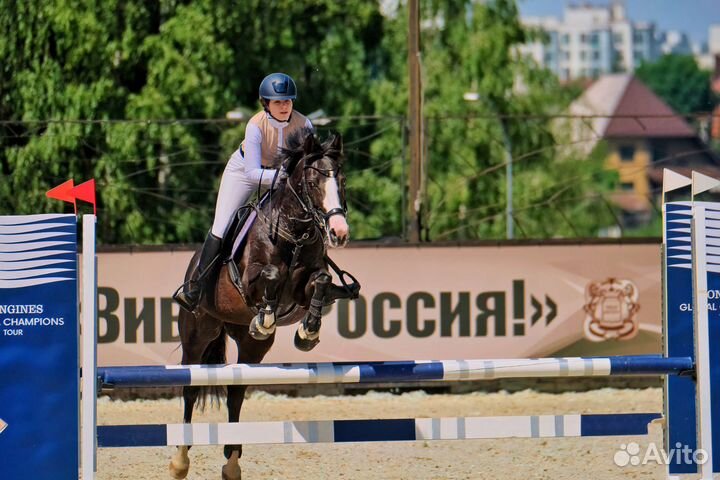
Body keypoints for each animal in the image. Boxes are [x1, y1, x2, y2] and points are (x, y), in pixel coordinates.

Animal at [169, 129, 360, 480]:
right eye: (312, 182)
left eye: (341, 180)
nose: (339, 232)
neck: (294, 233)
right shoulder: (249, 281)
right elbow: (271, 275)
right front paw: (267, 316)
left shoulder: (307, 286)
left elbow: (321, 281)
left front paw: (307, 333)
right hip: (197, 332)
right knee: (190, 387)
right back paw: (180, 460)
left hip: (250, 347)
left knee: (236, 393)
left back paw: (232, 462)